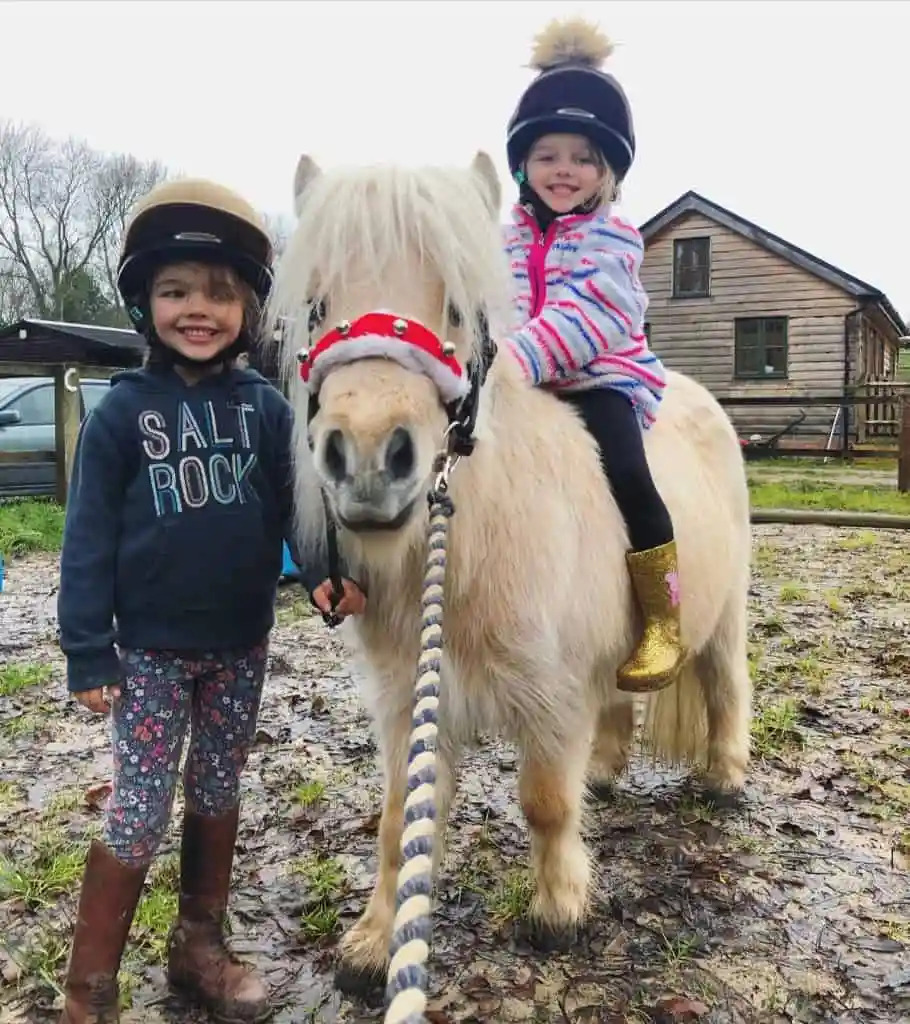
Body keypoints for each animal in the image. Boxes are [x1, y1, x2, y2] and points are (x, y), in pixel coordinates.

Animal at [268, 149, 753, 983]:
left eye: (461, 311)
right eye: (318, 304)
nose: (369, 460)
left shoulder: (552, 700)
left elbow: (545, 803)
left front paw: (558, 911)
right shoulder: (411, 702)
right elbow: (398, 822)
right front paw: (373, 942)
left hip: (720, 624)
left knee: (725, 689)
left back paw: (724, 778)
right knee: (618, 701)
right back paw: (605, 770)